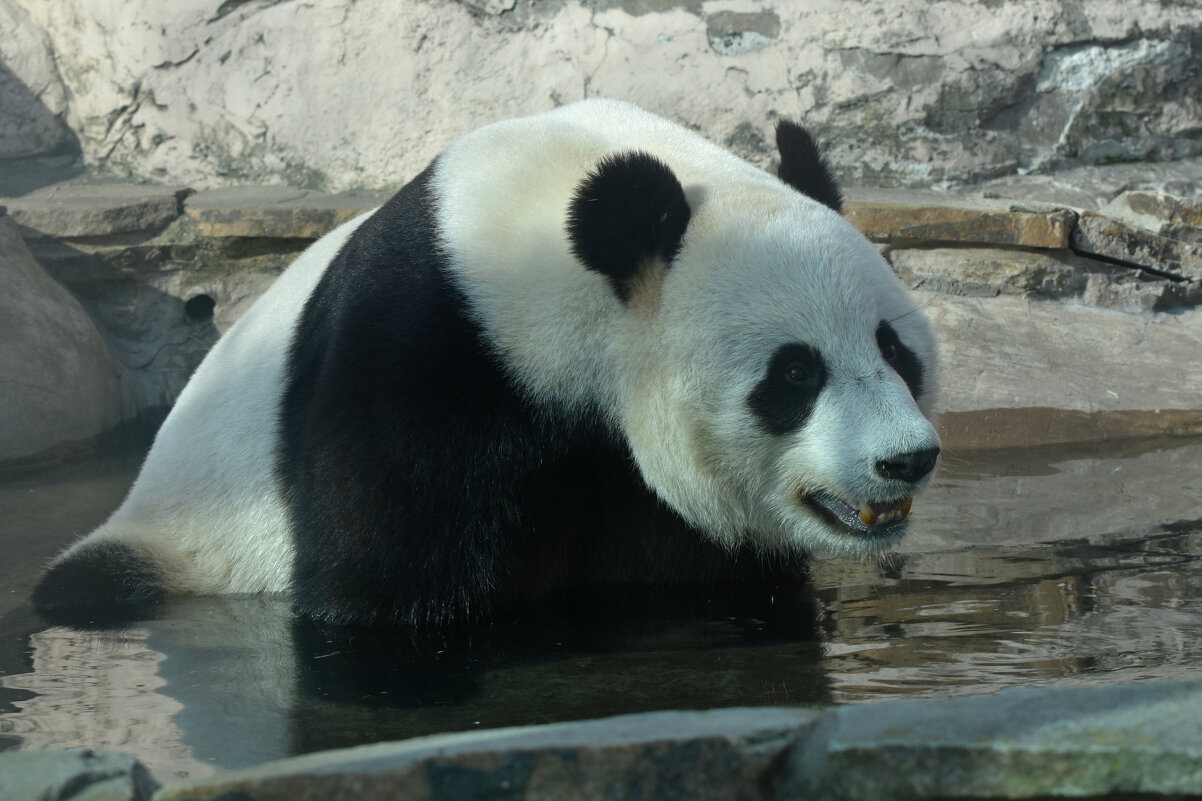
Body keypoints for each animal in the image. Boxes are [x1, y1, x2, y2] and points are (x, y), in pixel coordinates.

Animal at [32, 98, 942, 625]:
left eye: (894, 349)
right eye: (795, 373)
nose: (908, 458)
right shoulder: (427, 348)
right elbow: (383, 576)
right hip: (189, 543)